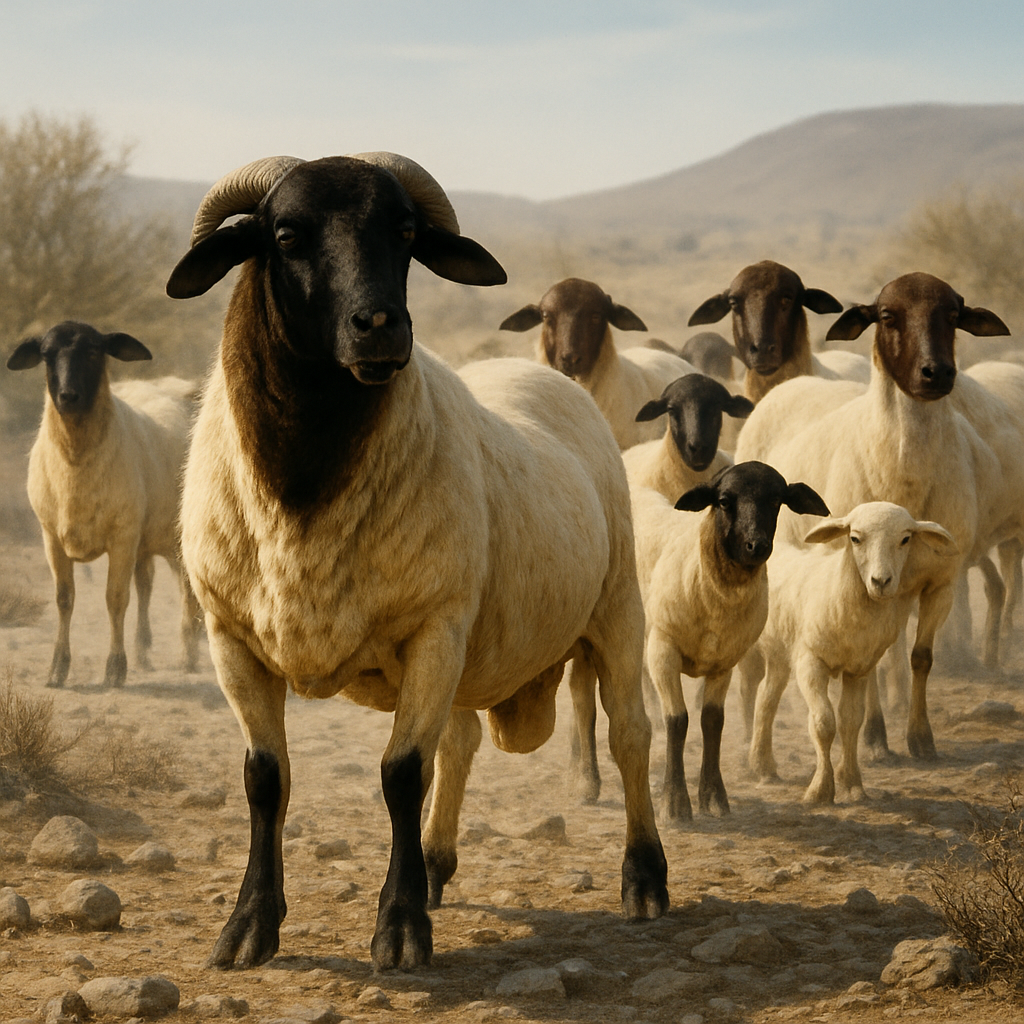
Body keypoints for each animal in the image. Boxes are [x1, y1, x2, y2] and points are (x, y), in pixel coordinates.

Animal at [6, 321, 201, 689]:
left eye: (95, 351)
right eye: (46, 354)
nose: (68, 397)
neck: (75, 460)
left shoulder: (122, 537)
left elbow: (115, 599)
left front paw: (114, 669)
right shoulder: (52, 537)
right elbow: (64, 599)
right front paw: (57, 670)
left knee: (187, 588)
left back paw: (189, 655)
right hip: (147, 536)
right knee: (146, 583)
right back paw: (144, 652)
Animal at [164, 152, 668, 972]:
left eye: (403, 232)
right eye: (286, 234)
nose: (381, 327)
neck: (304, 487)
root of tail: (553, 377)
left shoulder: (432, 628)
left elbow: (401, 774)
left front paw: (398, 931)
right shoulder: (230, 636)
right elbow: (266, 779)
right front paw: (248, 928)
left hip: (615, 608)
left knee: (629, 735)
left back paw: (645, 880)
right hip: (473, 641)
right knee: (458, 746)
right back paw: (433, 866)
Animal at [735, 272, 1008, 759]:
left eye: (953, 313)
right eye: (886, 315)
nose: (937, 373)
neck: (904, 474)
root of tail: (792, 383)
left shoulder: (941, 581)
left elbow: (920, 658)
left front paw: (920, 738)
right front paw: (877, 739)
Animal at [739, 503, 958, 805]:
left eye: (905, 539)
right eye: (855, 538)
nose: (881, 581)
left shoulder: (858, 668)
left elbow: (851, 722)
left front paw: (852, 784)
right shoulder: (811, 663)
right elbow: (823, 723)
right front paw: (820, 789)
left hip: (780, 651)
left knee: (766, 698)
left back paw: (763, 765)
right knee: (748, 686)